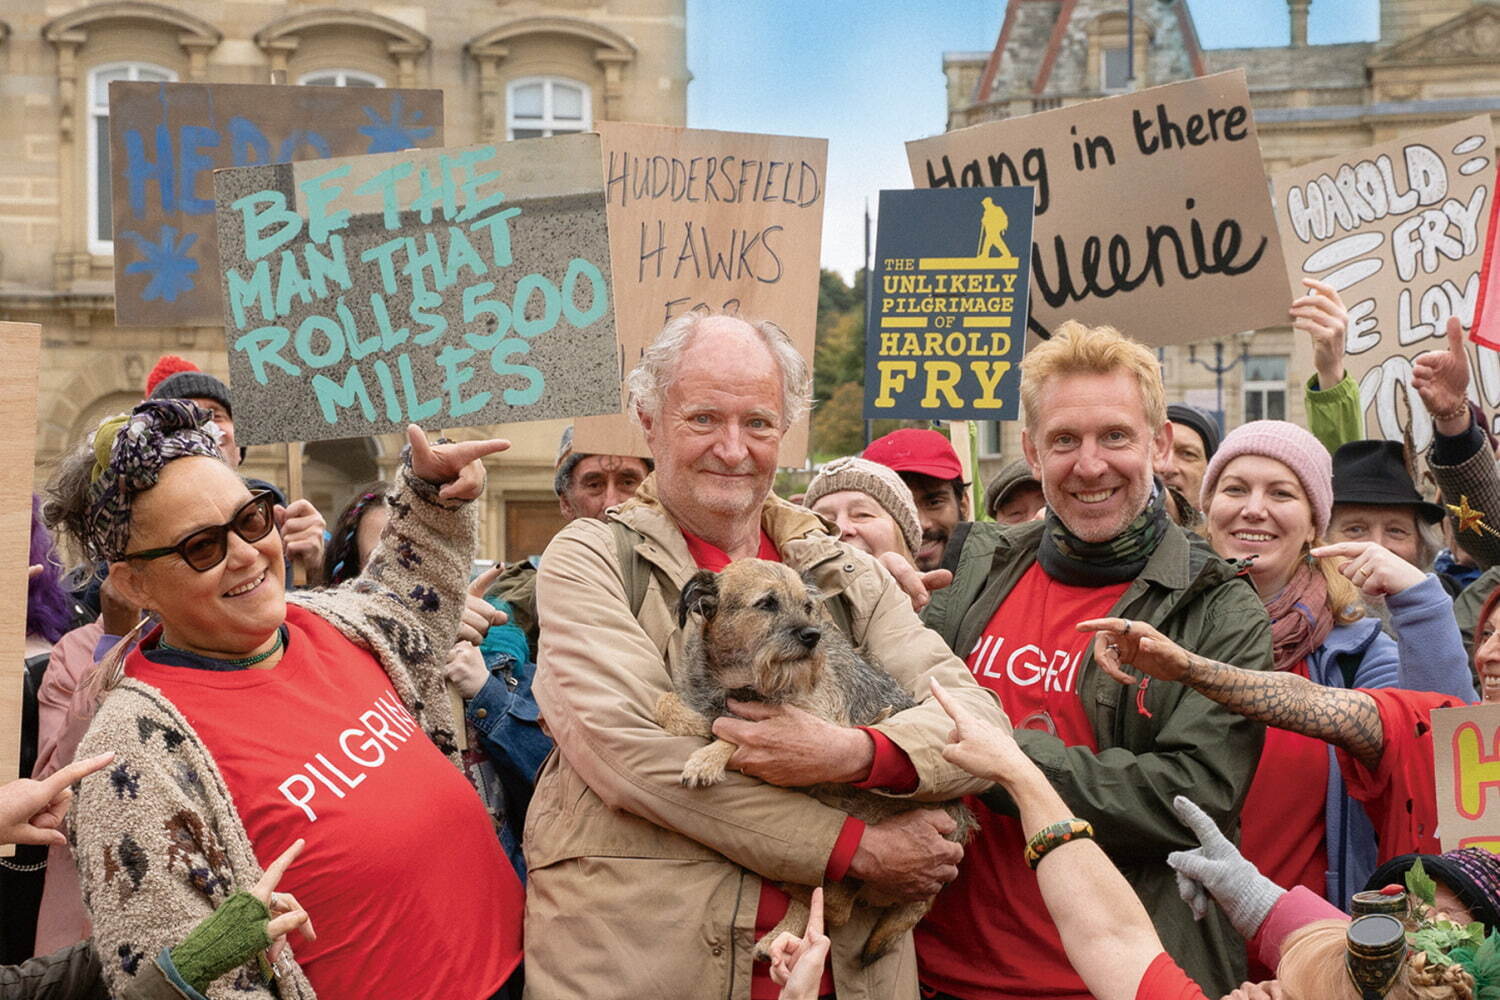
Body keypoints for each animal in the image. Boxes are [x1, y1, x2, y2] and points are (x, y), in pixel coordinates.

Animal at [657, 560, 972, 965]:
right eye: (767, 603)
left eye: (808, 606)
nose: (812, 636)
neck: (741, 681)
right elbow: (664, 701)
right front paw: (692, 721)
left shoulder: (821, 728)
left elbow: (743, 729)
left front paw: (707, 757)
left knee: (834, 902)